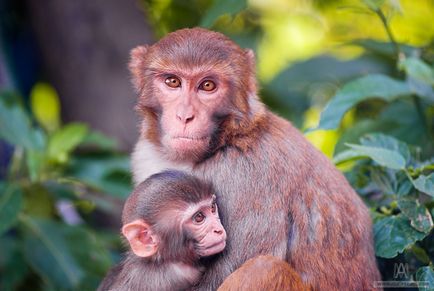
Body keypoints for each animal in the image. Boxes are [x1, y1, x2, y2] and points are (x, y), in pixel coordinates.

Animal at [131, 26, 382, 290]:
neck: (228, 139)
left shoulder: (243, 175)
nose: (184, 116)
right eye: (173, 82)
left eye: (207, 86)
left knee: (264, 268)